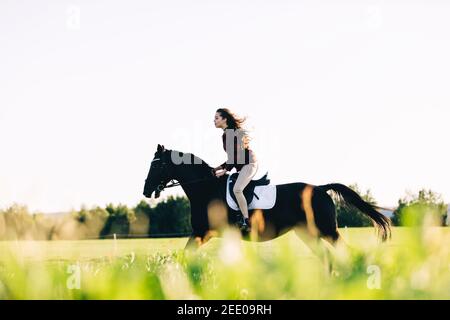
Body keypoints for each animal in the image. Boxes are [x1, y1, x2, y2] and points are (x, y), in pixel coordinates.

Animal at [143, 145, 390, 252]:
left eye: (156, 165)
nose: (145, 191)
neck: (206, 189)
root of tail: (321, 189)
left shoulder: (203, 233)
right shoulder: (201, 234)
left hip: (327, 231)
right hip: (308, 234)